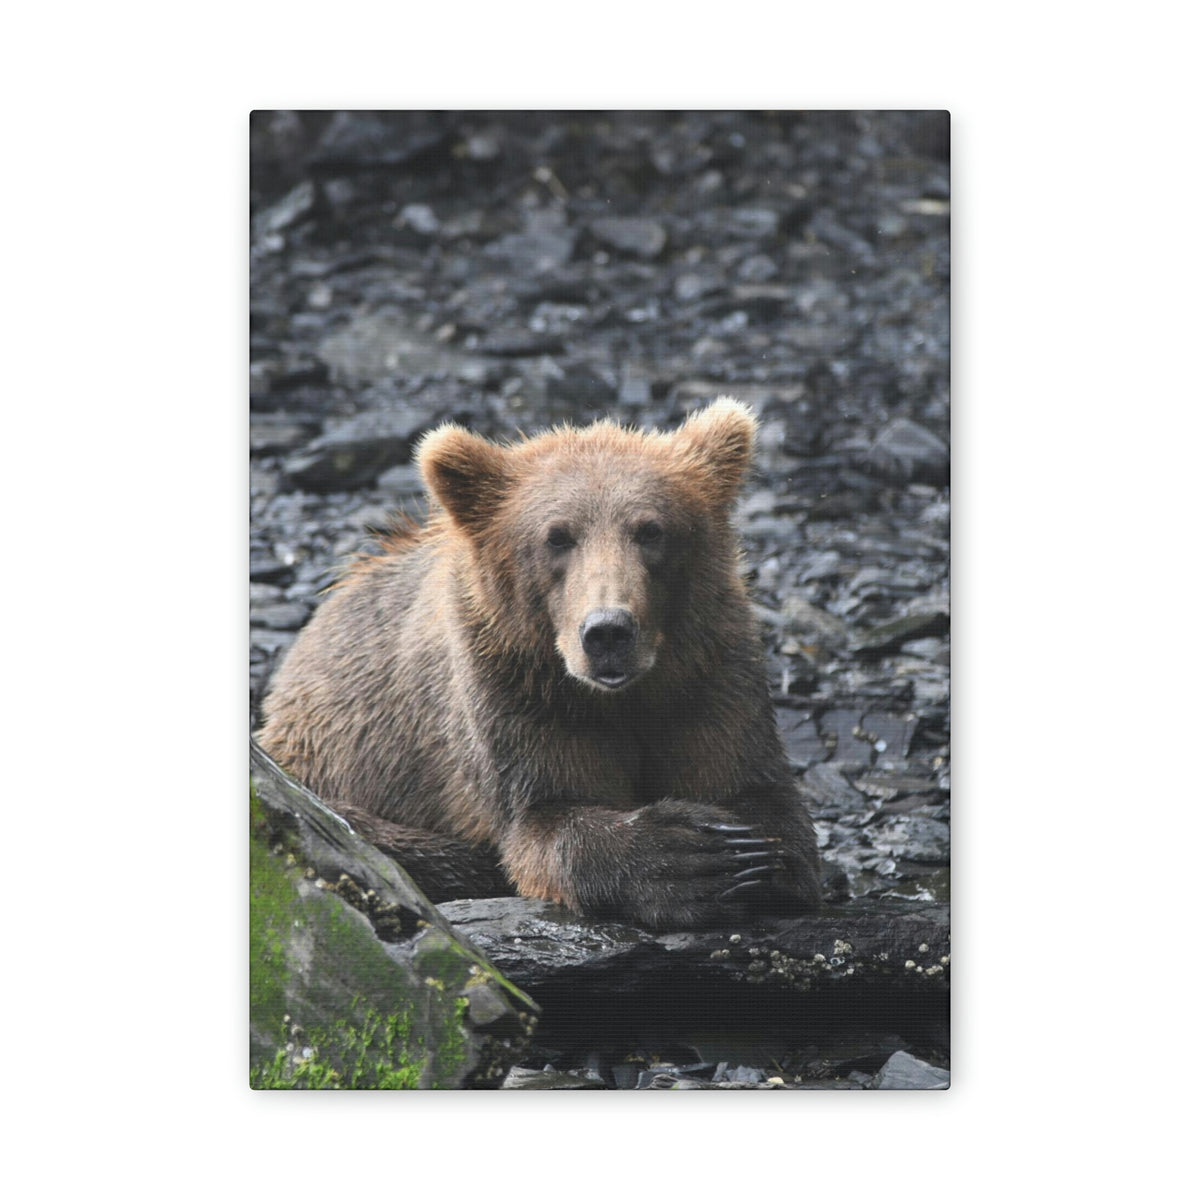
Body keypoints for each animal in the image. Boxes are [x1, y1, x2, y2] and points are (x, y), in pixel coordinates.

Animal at [256, 398, 821, 930]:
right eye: (557, 536)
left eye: (651, 530)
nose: (608, 631)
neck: (619, 697)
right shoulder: (515, 692)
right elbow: (544, 818)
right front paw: (688, 857)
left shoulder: (708, 673)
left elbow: (756, 791)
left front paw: (746, 854)